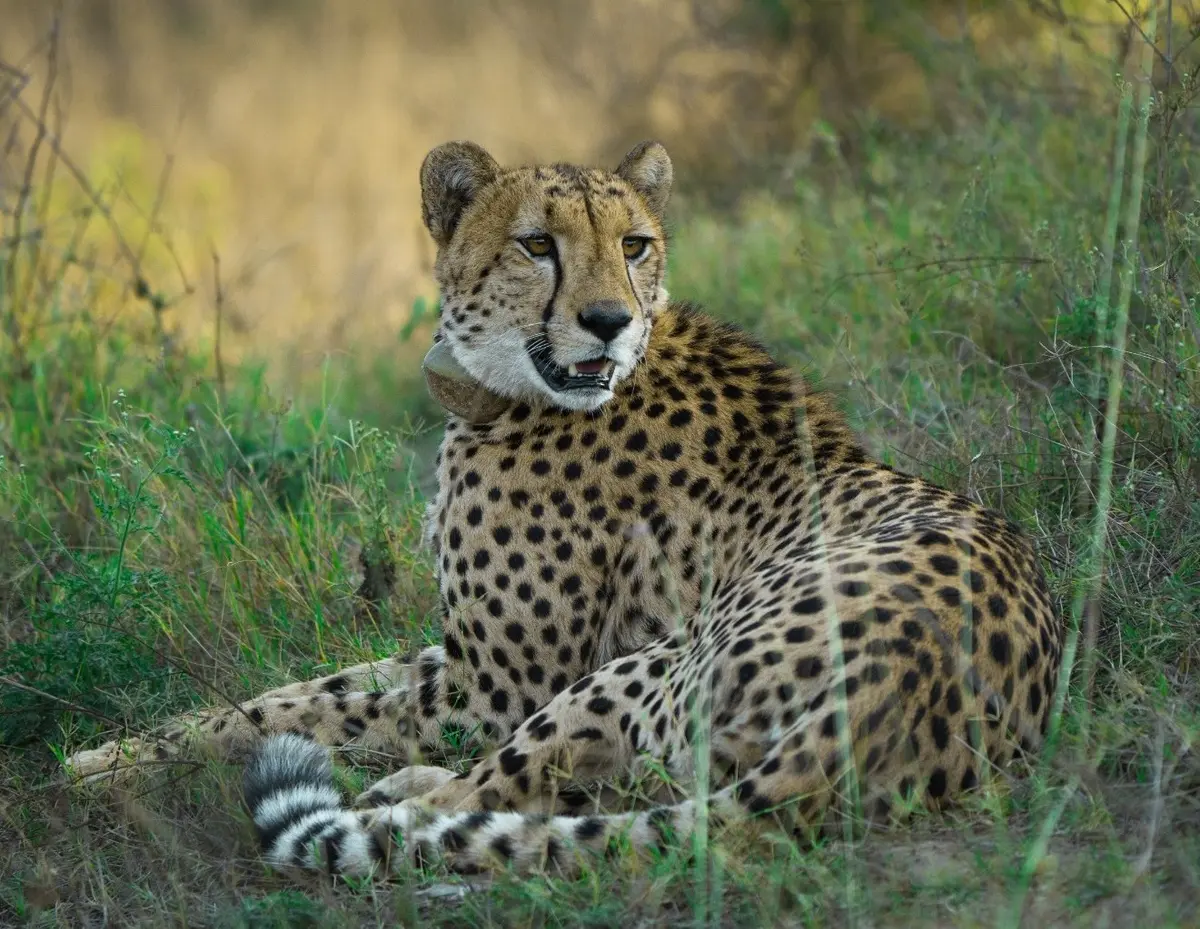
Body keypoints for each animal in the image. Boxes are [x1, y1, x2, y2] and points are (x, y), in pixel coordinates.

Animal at [66, 139, 1063, 881]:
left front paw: (101, 771)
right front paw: (110, 752)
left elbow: (308, 715)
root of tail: (889, 705)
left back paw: (390, 793)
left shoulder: (495, 686)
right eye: (536, 244)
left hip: (639, 665)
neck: (507, 390)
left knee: (471, 803)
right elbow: (290, 692)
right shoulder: (460, 655)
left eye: (635, 244)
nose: (606, 322)